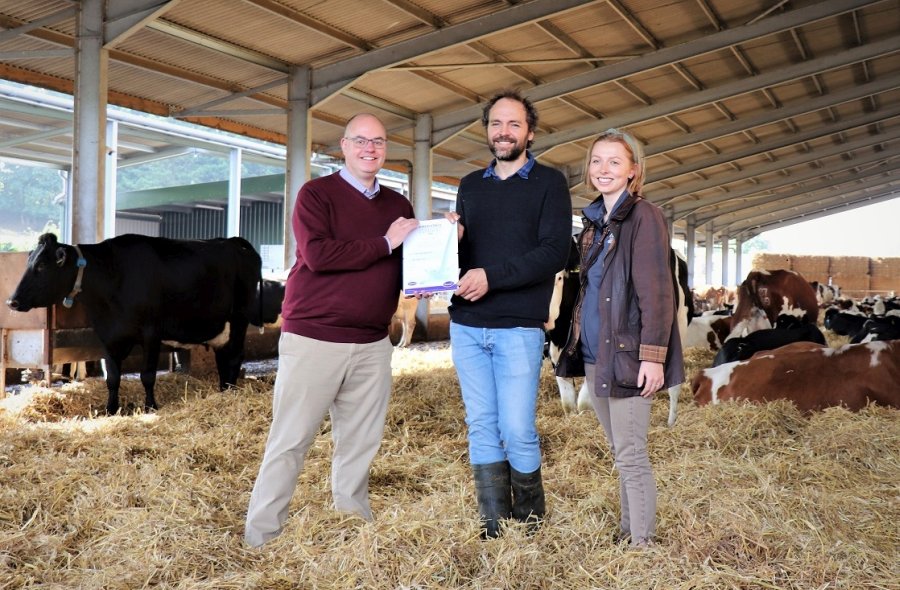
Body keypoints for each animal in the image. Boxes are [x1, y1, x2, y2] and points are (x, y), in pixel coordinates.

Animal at [7, 234, 262, 414]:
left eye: (41, 266)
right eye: (29, 262)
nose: (12, 301)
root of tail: (235, 241)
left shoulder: (151, 333)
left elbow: (147, 375)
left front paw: (150, 407)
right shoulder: (108, 335)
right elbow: (112, 377)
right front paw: (110, 409)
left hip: (239, 319)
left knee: (234, 357)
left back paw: (231, 393)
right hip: (222, 327)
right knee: (223, 358)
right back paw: (223, 391)